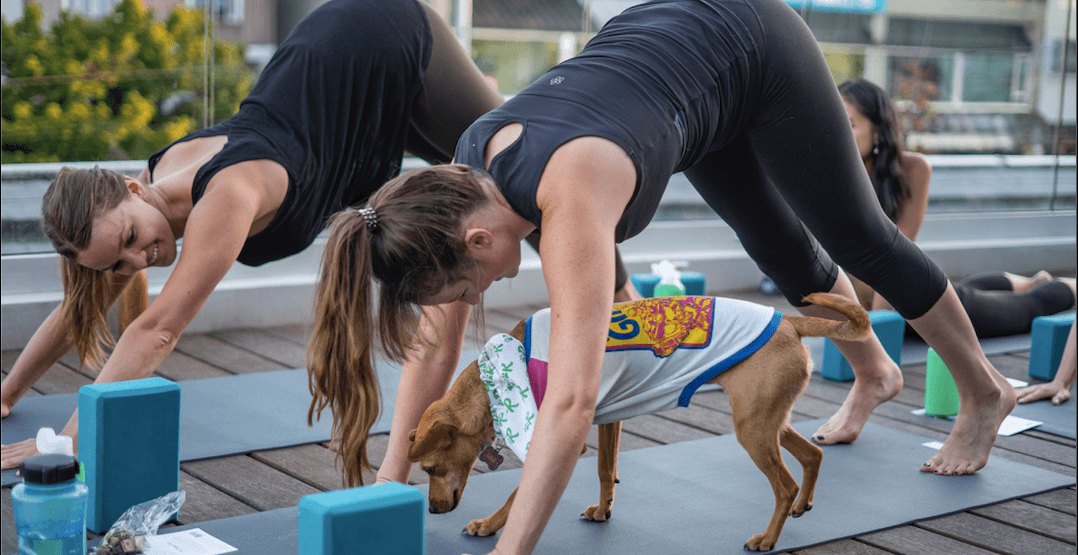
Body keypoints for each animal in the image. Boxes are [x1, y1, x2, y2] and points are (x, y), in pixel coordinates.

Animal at [407, 293, 871, 551]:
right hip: (766, 421)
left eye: (429, 469)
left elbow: (519, 495)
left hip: (754, 430)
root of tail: (789, 320)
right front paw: (603, 510)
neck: (501, 373)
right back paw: (803, 504)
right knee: (812, 456)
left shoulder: (558, 437)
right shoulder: (606, 421)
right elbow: (605, 469)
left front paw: (489, 525)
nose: (430, 510)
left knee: (784, 484)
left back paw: (768, 538)